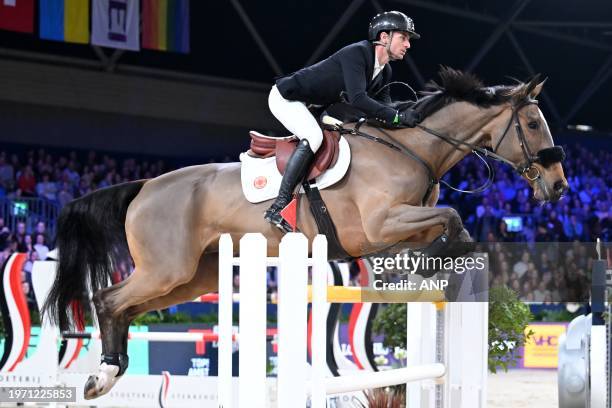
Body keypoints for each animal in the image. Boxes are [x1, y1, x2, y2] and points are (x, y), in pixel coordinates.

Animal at [43, 67, 568, 398]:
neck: (411, 148)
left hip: (192, 277)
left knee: (126, 307)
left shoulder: (396, 226)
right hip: (165, 269)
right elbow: (453, 219)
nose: (560, 186)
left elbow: (445, 224)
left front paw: (431, 263)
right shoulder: (379, 225)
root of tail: (144, 186)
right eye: (532, 122)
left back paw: (108, 373)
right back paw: (102, 376)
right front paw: (436, 259)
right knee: (109, 299)